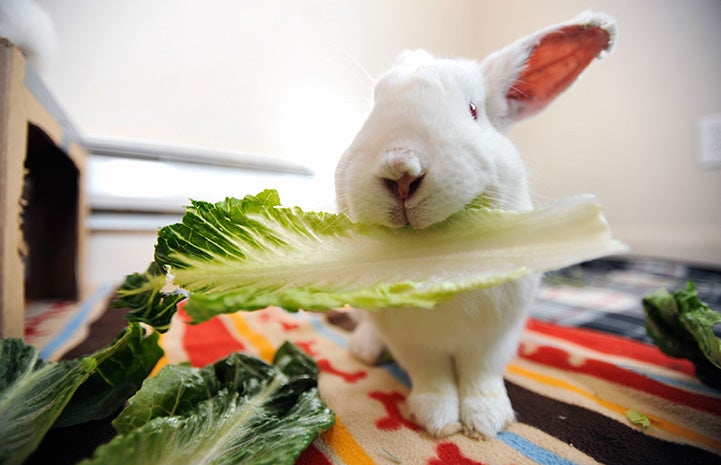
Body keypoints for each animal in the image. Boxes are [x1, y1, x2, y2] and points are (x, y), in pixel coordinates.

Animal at [334, 11, 616, 438]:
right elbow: (431, 377)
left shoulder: (496, 336)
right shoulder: (412, 341)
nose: (400, 169)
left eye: (472, 110)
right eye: (373, 110)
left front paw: (486, 421)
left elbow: (482, 374)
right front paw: (438, 420)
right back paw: (365, 350)